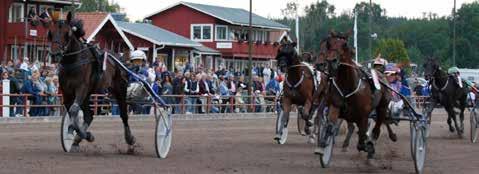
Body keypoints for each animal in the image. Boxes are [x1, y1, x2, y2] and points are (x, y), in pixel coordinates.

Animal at [48, 11, 137, 152]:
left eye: (67, 33)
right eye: (50, 32)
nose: (55, 54)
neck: (73, 62)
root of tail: (119, 59)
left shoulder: (81, 88)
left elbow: (74, 110)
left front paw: (83, 134)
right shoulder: (66, 93)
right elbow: (72, 112)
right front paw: (78, 133)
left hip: (120, 89)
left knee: (124, 114)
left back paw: (130, 139)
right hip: (88, 94)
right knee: (89, 115)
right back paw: (76, 141)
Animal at [318, 31, 394, 159]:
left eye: (344, 44)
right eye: (329, 43)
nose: (331, 61)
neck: (348, 85)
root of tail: (381, 75)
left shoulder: (364, 114)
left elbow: (362, 140)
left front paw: (367, 146)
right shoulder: (335, 105)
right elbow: (330, 126)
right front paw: (323, 146)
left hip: (382, 107)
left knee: (377, 128)